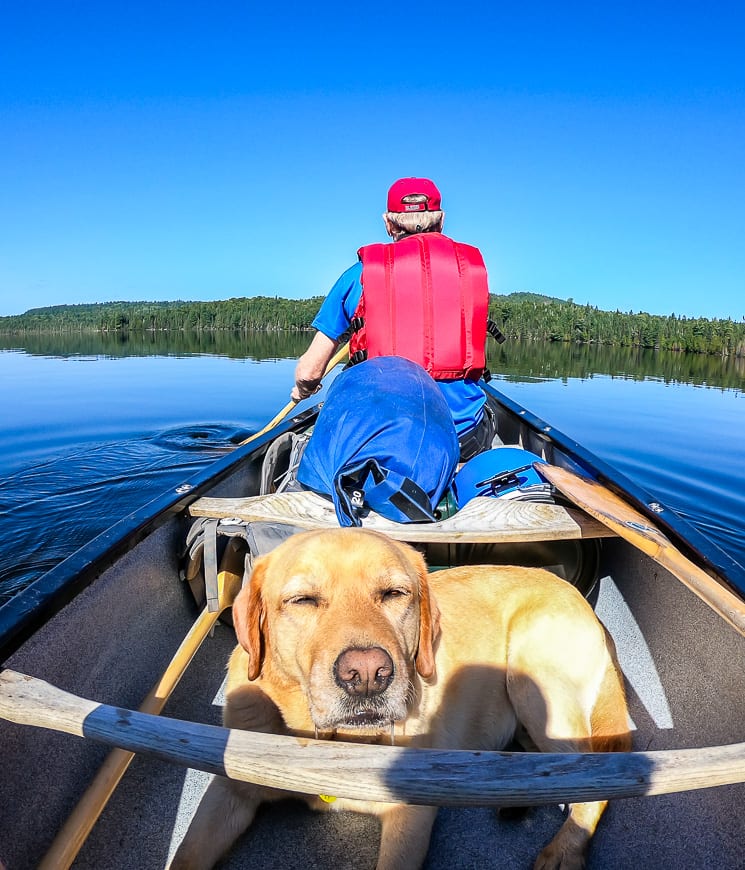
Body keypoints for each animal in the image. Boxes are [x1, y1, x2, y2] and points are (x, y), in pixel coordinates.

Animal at [171, 528, 632, 868]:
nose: (367, 675)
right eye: (302, 600)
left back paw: (564, 849)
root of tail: (581, 601)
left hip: (532, 676)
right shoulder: (228, 789)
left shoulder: (410, 814)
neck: (331, 743)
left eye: (394, 593)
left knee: (594, 776)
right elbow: (186, 854)